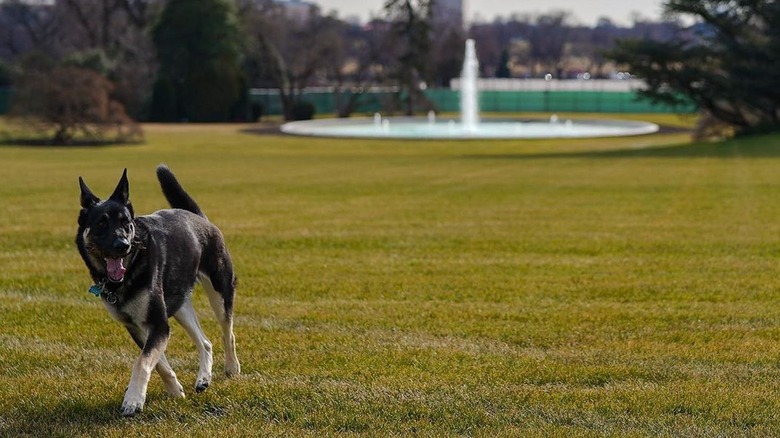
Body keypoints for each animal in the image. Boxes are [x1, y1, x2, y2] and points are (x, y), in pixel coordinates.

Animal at [77, 166, 241, 416]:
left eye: (126, 222)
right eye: (101, 223)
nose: (122, 245)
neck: (131, 267)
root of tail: (200, 218)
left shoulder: (158, 324)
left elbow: (142, 362)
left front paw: (133, 399)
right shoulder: (138, 326)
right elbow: (157, 363)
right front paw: (174, 390)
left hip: (220, 291)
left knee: (227, 332)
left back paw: (232, 367)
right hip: (179, 305)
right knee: (205, 342)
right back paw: (203, 379)